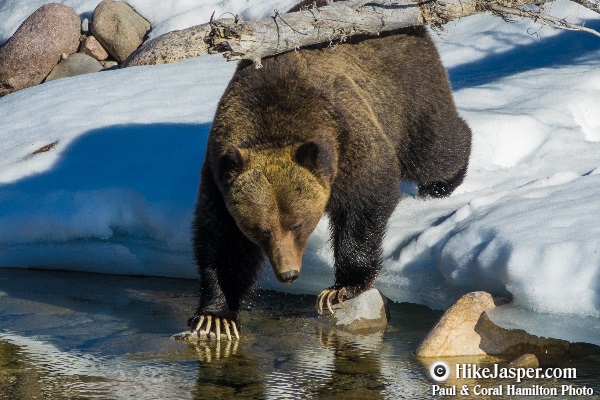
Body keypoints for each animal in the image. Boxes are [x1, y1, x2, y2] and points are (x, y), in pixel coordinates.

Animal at [190, 25, 472, 340]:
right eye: (260, 230)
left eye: (297, 224)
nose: (288, 274)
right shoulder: (218, 178)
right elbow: (222, 241)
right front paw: (215, 316)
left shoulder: (348, 141)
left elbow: (364, 205)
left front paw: (340, 288)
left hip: (408, 91)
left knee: (433, 148)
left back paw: (443, 183)